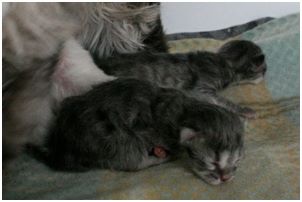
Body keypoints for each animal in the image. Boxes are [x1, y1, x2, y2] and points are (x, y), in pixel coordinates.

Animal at [44, 78, 243, 185]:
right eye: (213, 162)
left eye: (236, 163)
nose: (227, 178)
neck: (186, 109)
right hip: (119, 139)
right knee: (132, 162)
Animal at [94, 39, 266, 118]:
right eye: (264, 68)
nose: (265, 73)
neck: (222, 62)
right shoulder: (201, 89)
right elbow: (223, 101)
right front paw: (245, 110)